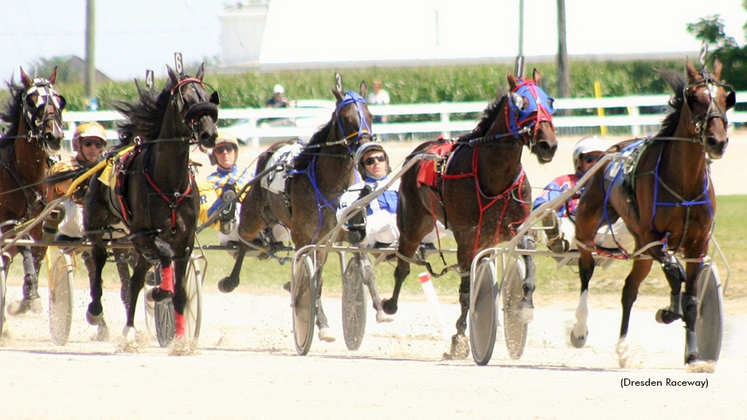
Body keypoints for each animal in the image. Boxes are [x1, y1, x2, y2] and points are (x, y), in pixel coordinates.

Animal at [0, 66, 65, 316]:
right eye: (31, 99)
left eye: (59, 99)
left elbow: (37, 251)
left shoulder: (41, 222)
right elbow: (23, 244)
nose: (53, 135)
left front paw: (29, 296)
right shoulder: (7, 221)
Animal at [221, 73, 374, 342]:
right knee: (243, 240)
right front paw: (320, 323)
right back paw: (231, 279)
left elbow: (359, 260)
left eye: (371, 114)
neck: (328, 185)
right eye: (347, 118)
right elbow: (313, 279)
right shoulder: (306, 238)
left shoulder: (340, 233)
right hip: (253, 214)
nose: (367, 150)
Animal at [382, 69, 560, 358]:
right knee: (402, 265)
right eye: (520, 103)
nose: (548, 145)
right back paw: (389, 304)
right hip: (412, 222)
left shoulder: (516, 227)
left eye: (550, 101)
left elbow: (528, 259)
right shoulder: (467, 236)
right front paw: (459, 338)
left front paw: (524, 304)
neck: (495, 176)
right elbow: (466, 290)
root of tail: (422, 149)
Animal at [568, 59, 732, 364]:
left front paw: (693, 354)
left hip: (640, 251)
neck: (684, 184)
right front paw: (668, 311)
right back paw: (580, 329)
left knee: (629, 289)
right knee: (586, 267)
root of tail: (613, 149)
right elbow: (674, 273)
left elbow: (691, 298)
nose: (717, 141)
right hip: (589, 221)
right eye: (694, 98)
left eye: (726, 98)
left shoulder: (696, 245)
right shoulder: (652, 237)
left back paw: (623, 346)